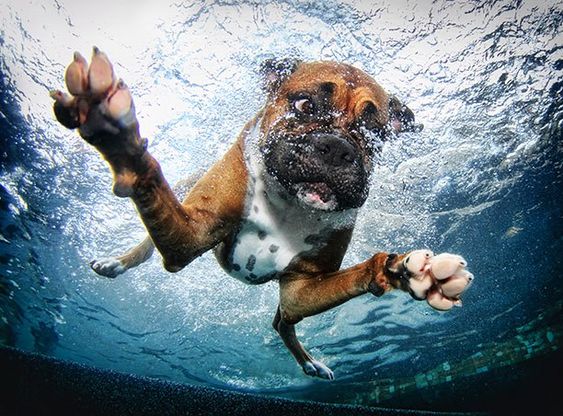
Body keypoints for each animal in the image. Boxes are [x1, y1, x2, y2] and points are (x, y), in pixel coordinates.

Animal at [50, 48, 472, 380]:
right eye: (304, 105)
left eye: (375, 135)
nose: (337, 148)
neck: (288, 204)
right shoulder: (191, 234)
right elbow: (148, 173)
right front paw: (113, 128)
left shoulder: (303, 287)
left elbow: (358, 273)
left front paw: (408, 271)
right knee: (148, 236)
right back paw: (116, 262)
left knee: (281, 321)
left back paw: (311, 363)